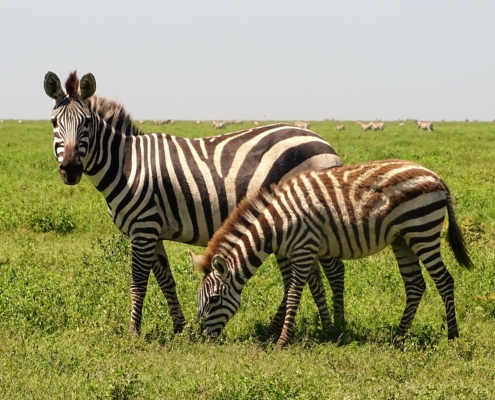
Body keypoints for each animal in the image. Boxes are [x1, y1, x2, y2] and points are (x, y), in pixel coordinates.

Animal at [43, 70, 344, 336]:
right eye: (54, 123)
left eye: (86, 122)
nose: (70, 169)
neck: (127, 164)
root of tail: (325, 143)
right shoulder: (152, 231)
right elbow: (166, 280)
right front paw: (180, 328)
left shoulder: (143, 228)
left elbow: (138, 283)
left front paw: (133, 332)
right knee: (310, 274)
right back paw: (304, 327)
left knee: (332, 270)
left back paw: (334, 329)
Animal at [193, 161, 472, 348]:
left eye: (215, 299)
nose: (203, 338)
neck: (276, 223)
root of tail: (436, 177)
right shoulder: (308, 251)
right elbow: (316, 290)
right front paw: (329, 330)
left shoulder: (303, 250)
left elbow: (293, 295)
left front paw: (282, 342)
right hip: (402, 239)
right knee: (415, 285)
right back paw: (398, 337)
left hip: (422, 230)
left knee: (444, 281)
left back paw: (453, 337)